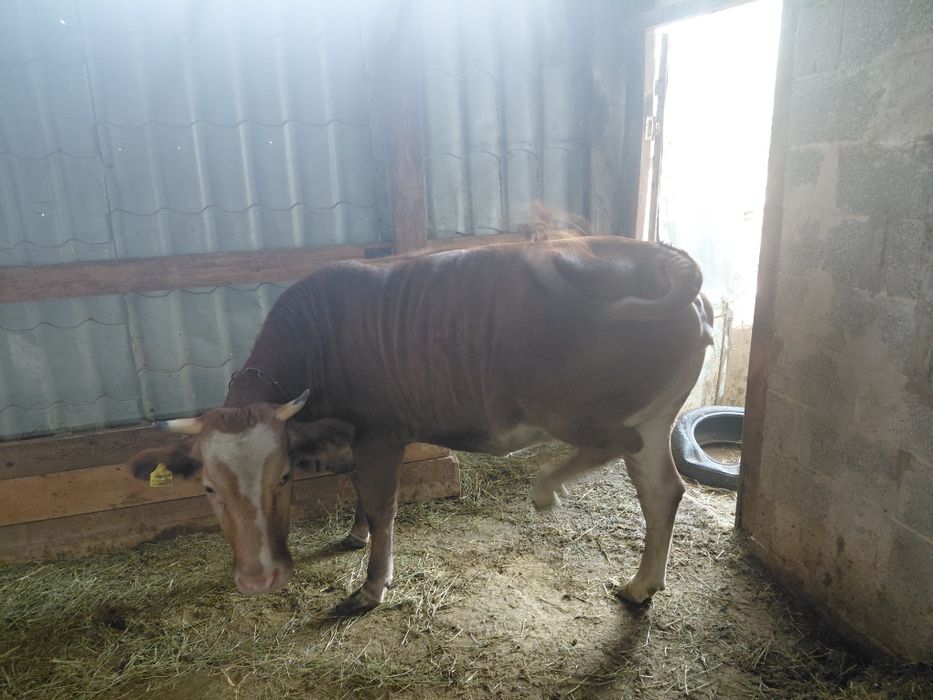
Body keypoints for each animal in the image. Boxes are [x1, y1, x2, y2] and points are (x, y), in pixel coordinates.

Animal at [129, 234, 713, 615]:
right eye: (208, 487)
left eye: (285, 478)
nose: (260, 579)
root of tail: (659, 255)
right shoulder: (355, 438)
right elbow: (359, 491)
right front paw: (354, 534)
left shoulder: (381, 434)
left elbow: (383, 505)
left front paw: (371, 588)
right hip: (656, 416)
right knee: (662, 490)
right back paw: (640, 586)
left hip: (572, 408)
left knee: (616, 443)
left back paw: (547, 486)